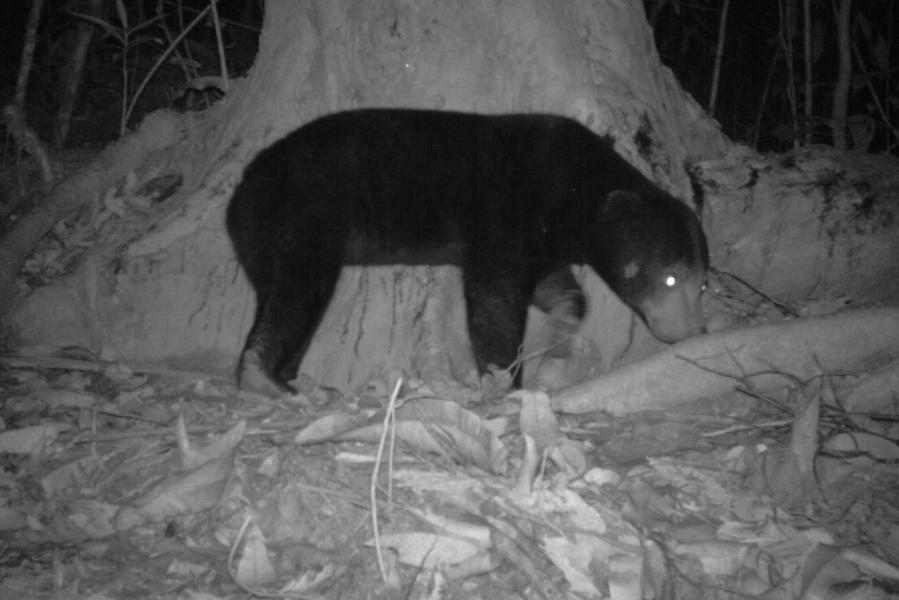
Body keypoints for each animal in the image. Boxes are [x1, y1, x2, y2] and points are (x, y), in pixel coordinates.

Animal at [226, 109, 709, 397]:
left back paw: (289, 375)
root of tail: (242, 189)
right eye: (668, 277)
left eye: (702, 284)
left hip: (261, 237)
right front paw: (503, 380)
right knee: (298, 289)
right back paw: (264, 376)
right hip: (306, 210)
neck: (578, 191)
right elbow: (494, 294)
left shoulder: (546, 241)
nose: (692, 331)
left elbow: (556, 286)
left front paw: (558, 334)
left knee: (278, 291)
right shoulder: (509, 208)